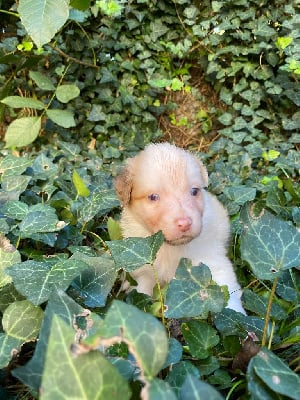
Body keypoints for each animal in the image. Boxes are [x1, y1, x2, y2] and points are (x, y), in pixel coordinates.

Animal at [113, 142, 245, 314]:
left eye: (194, 191)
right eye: (153, 197)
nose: (185, 223)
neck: (169, 248)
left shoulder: (213, 261)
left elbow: (228, 292)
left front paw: (236, 315)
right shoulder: (146, 271)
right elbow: (142, 291)